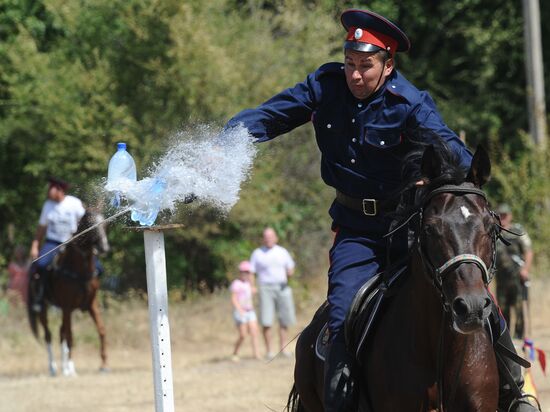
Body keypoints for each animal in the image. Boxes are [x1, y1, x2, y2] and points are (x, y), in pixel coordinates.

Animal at [28, 211, 110, 374]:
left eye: (104, 224)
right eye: (90, 225)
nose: (104, 247)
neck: (79, 271)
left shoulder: (91, 305)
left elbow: (101, 330)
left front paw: (104, 364)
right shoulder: (67, 306)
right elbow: (70, 335)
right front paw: (71, 367)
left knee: (61, 333)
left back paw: (63, 366)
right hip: (44, 309)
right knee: (49, 335)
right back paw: (53, 367)